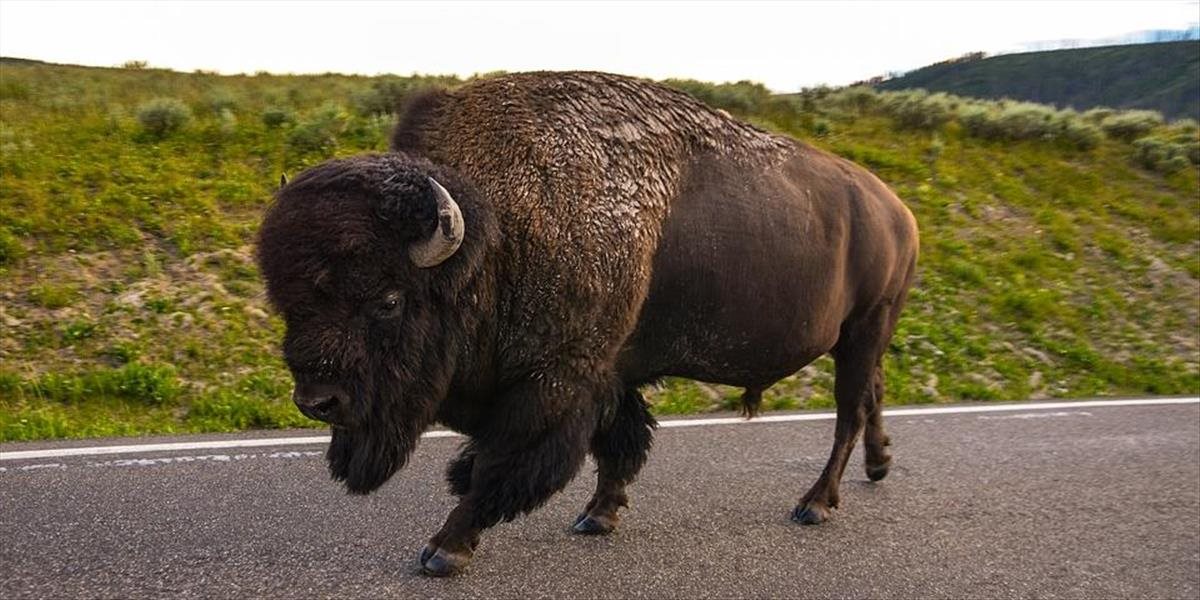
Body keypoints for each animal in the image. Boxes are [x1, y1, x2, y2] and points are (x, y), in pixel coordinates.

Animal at [258, 71, 916, 576]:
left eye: (389, 300)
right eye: (287, 299)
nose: (317, 400)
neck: (500, 237)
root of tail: (898, 210)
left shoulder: (556, 382)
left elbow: (501, 462)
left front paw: (445, 550)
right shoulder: (609, 373)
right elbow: (619, 442)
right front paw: (598, 515)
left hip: (864, 328)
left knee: (848, 413)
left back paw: (816, 504)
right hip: (865, 337)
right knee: (872, 395)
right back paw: (878, 467)